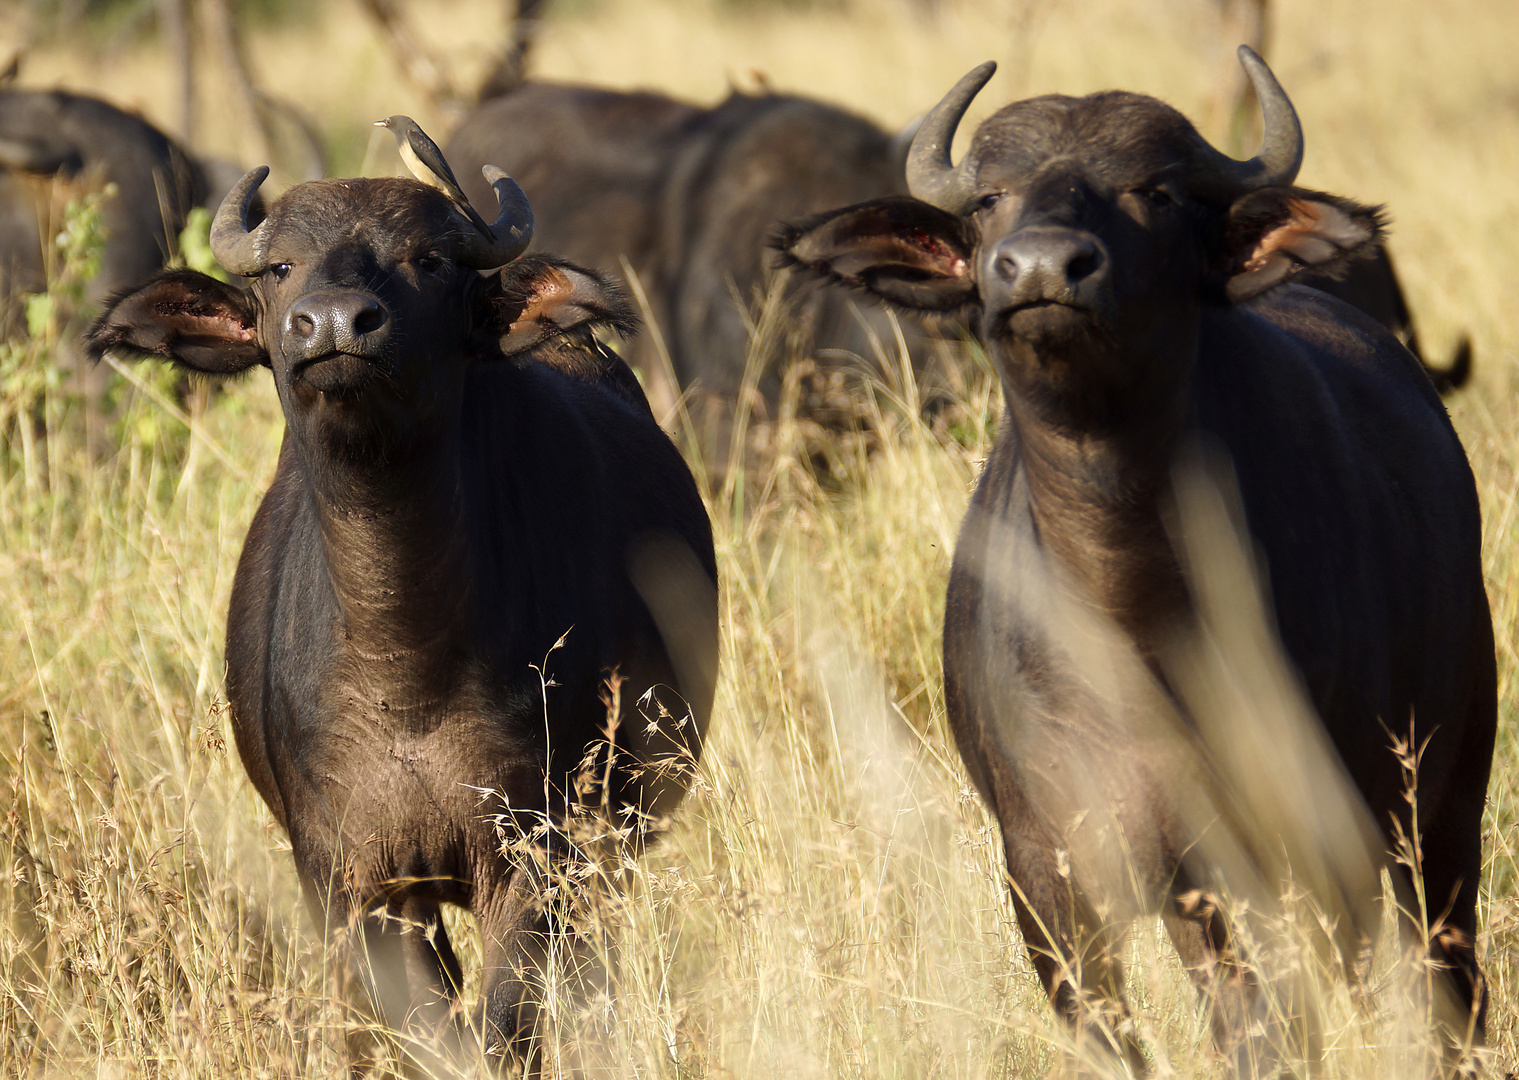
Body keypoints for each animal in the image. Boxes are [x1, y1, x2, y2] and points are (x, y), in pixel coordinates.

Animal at [86, 154, 720, 1075]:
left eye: (428, 261)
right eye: (280, 268)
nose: (333, 324)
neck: (406, 672)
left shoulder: (538, 857)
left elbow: (503, 1027)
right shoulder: (351, 881)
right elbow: (426, 1029)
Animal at [777, 48, 1488, 1063]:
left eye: (1153, 190)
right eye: (989, 197)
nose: (1040, 268)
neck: (1131, 624)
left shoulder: (1278, 865)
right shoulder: (1050, 885)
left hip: (1441, 810)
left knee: (1447, 984)